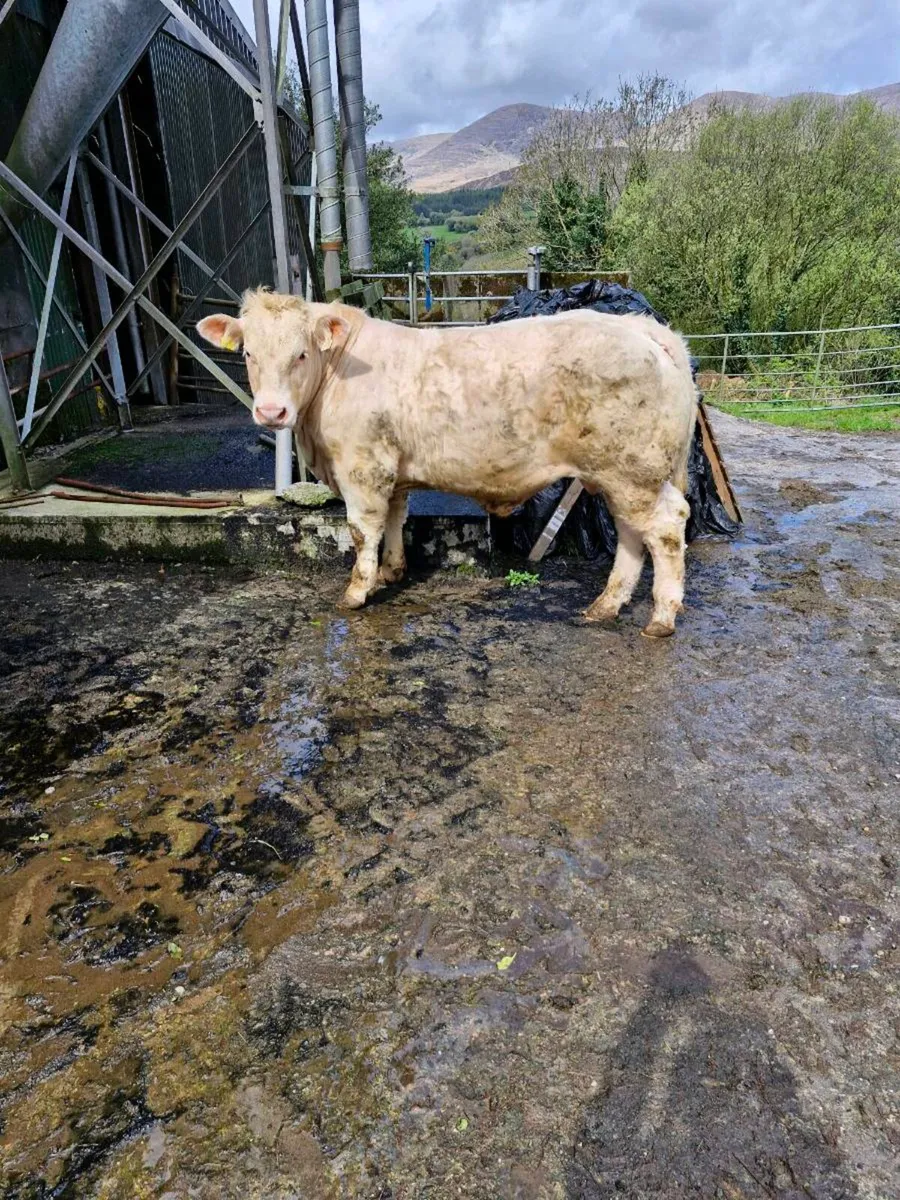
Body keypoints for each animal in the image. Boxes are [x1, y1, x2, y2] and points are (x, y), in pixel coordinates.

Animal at [197, 289, 697, 636]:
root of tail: (642, 328)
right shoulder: (392, 472)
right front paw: (392, 571)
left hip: (633, 471)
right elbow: (395, 519)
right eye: (248, 353)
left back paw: (661, 616)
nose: (271, 412)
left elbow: (361, 530)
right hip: (618, 476)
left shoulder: (363, 467)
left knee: (666, 529)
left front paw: (357, 591)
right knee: (632, 535)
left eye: (301, 353)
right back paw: (606, 605)